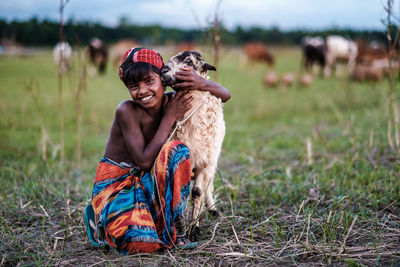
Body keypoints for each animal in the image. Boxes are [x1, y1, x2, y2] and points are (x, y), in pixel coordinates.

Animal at [162, 50, 227, 237]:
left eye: (189, 61)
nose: (163, 71)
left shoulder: (204, 164)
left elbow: (197, 193)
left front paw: (194, 229)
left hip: (211, 161)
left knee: (208, 187)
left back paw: (212, 210)